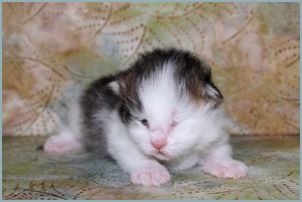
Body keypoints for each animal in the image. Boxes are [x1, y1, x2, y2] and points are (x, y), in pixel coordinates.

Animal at [44, 47, 248, 186]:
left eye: (175, 123)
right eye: (144, 122)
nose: (157, 144)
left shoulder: (213, 130)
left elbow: (219, 149)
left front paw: (227, 165)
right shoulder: (119, 135)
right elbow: (134, 154)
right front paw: (150, 171)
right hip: (82, 110)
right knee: (75, 129)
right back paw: (60, 142)